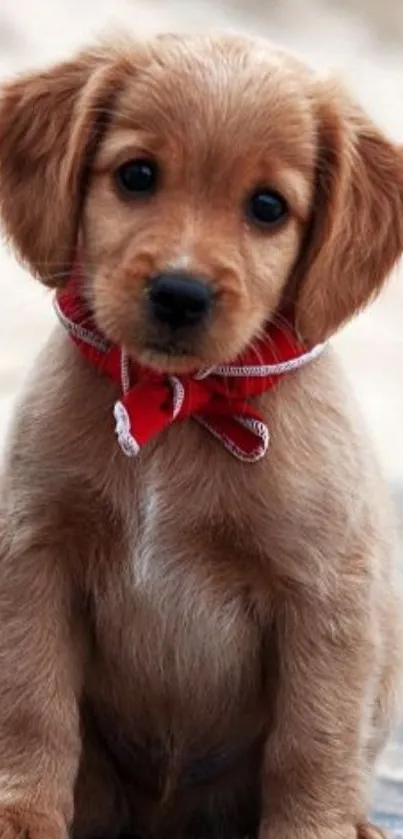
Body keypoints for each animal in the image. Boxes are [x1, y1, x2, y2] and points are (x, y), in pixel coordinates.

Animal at [0, 34, 403, 839]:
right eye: (137, 175)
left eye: (268, 207)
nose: (180, 294)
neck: (179, 406)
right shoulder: (36, 553)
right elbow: (33, 701)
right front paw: (22, 813)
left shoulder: (323, 598)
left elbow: (311, 742)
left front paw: (312, 828)